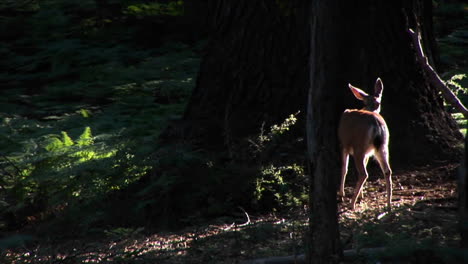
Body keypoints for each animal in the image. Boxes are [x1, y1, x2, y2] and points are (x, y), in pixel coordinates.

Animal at [338, 77, 394, 209]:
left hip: (359, 146)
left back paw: (351, 203)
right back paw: (389, 204)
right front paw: (361, 196)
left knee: (363, 173)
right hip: (382, 146)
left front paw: (341, 195)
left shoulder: (344, 144)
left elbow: (344, 168)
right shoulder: (368, 152)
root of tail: (377, 125)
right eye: (377, 103)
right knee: (387, 171)